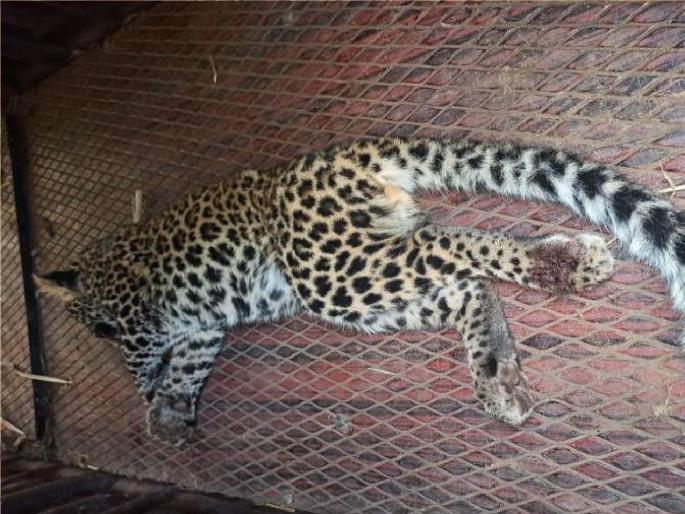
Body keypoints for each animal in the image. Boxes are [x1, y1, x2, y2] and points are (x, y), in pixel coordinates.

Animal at [36, 137, 685, 446]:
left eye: (103, 329)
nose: (137, 381)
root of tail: (330, 160)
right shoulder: (201, 328)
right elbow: (188, 363)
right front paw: (169, 410)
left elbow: (168, 353)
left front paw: (155, 396)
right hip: (360, 298)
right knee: (467, 285)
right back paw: (497, 375)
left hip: (331, 274)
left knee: (456, 242)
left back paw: (562, 263)